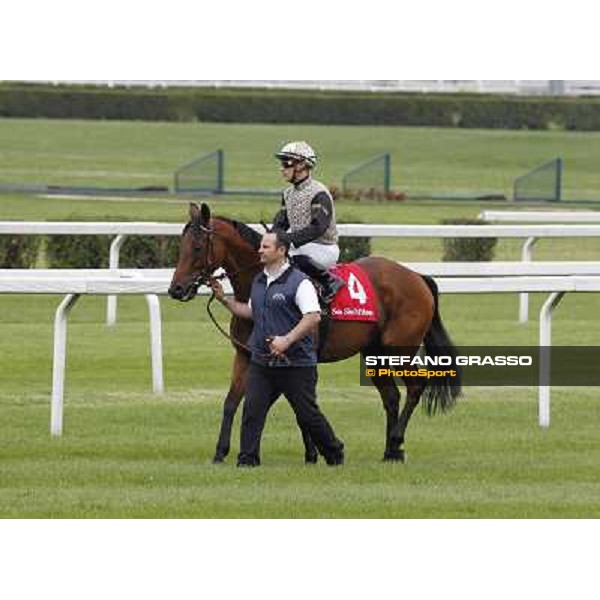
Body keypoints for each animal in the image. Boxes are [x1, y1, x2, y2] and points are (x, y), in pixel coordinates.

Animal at [169, 203, 464, 464]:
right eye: (181, 246)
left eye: (197, 247)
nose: (176, 289)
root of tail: (417, 277)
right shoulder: (246, 355)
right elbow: (232, 402)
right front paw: (220, 452)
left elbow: (294, 404)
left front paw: (315, 453)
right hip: (374, 354)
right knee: (391, 397)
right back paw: (391, 451)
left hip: (399, 349)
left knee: (415, 388)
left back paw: (396, 441)